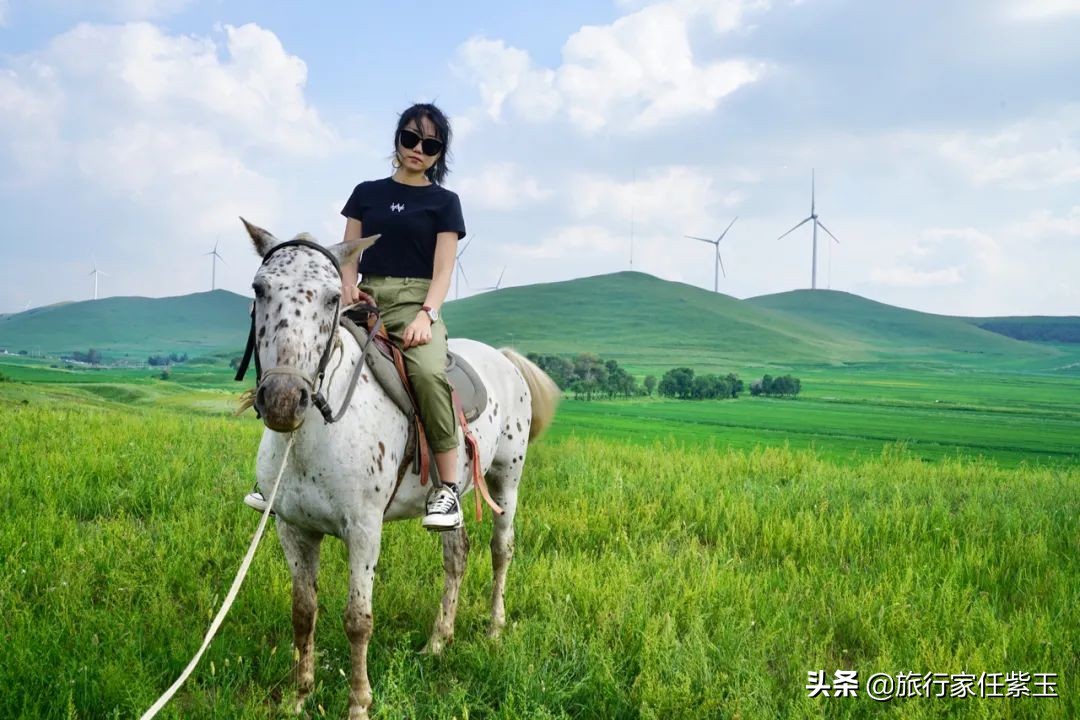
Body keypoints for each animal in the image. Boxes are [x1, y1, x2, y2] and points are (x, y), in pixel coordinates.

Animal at [237, 221, 557, 720]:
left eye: (333, 297)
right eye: (259, 288)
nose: (285, 400)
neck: (312, 439)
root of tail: (504, 358)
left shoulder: (364, 530)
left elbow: (357, 620)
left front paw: (358, 704)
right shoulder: (292, 528)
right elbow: (303, 612)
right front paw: (298, 697)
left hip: (506, 480)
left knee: (501, 550)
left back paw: (493, 629)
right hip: (450, 501)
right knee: (457, 554)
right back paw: (438, 641)